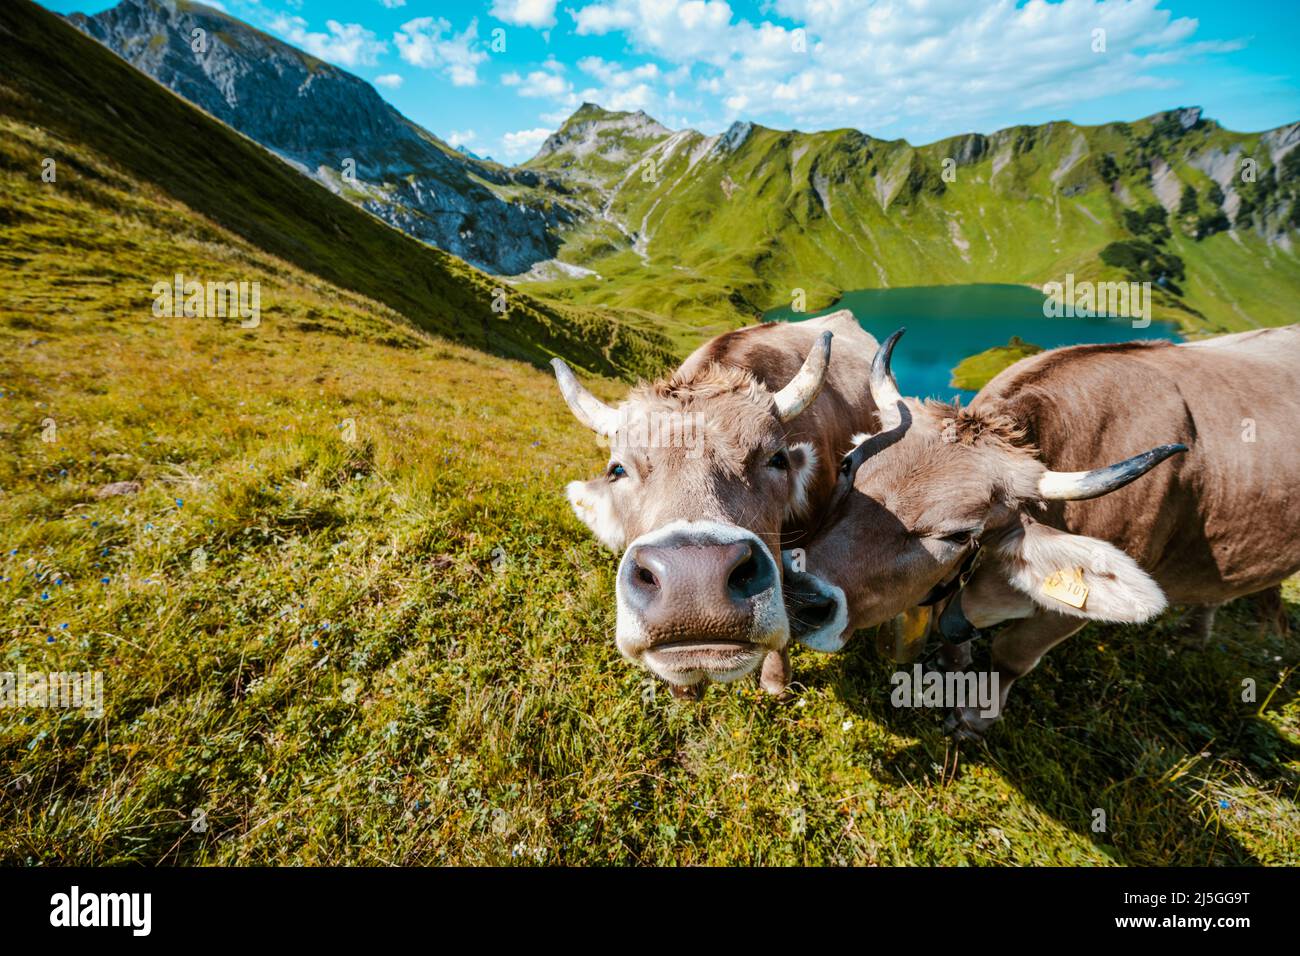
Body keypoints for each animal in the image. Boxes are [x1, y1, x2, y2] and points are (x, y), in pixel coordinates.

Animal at [785, 325, 1300, 738]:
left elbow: (1012, 654)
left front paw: (973, 718)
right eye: (849, 466)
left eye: (958, 535)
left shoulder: (1066, 616)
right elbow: (954, 634)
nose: (800, 596)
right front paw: (952, 665)